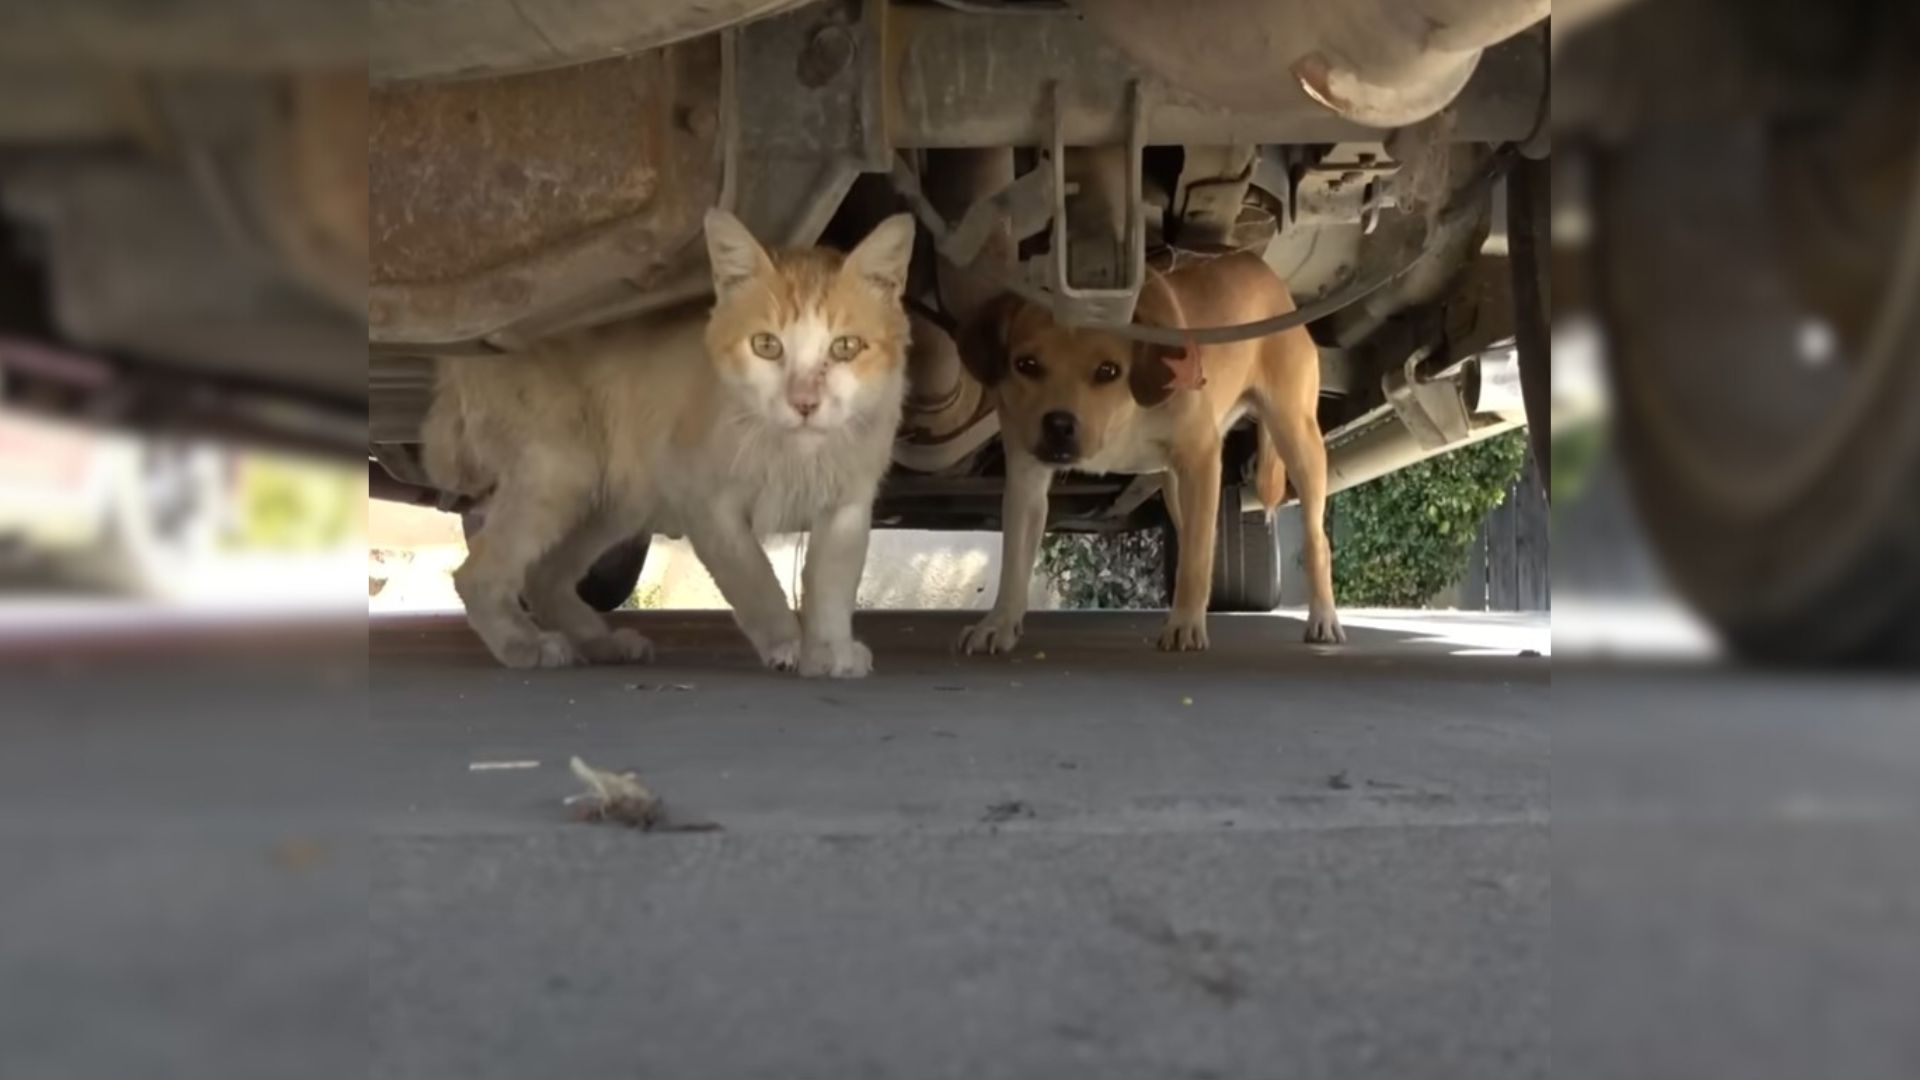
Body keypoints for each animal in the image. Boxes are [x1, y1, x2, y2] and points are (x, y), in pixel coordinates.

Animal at [424, 208, 917, 672]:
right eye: (766, 345)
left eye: (846, 347)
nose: (804, 403)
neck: (793, 452)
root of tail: (462, 353)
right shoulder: (704, 500)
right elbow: (754, 577)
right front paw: (787, 643)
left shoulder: (848, 503)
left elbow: (832, 583)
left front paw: (831, 650)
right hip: (560, 470)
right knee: (476, 573)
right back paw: (525, 645)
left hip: (614, 499)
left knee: (543, 575)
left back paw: (602, 643)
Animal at [960, 251, 1351, 653]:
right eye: (1025, 364)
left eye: (1108, 370)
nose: (1059, 426)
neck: (1124, 415)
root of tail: (1262, 270)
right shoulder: (1026, 480)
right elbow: (1013, 562)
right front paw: (999, 623)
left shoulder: (1200, 457)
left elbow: (1194, 560)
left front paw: (1185, 625)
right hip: (1176, 487)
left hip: (1297, 438)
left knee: (1315, 541)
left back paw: (1323, 618)